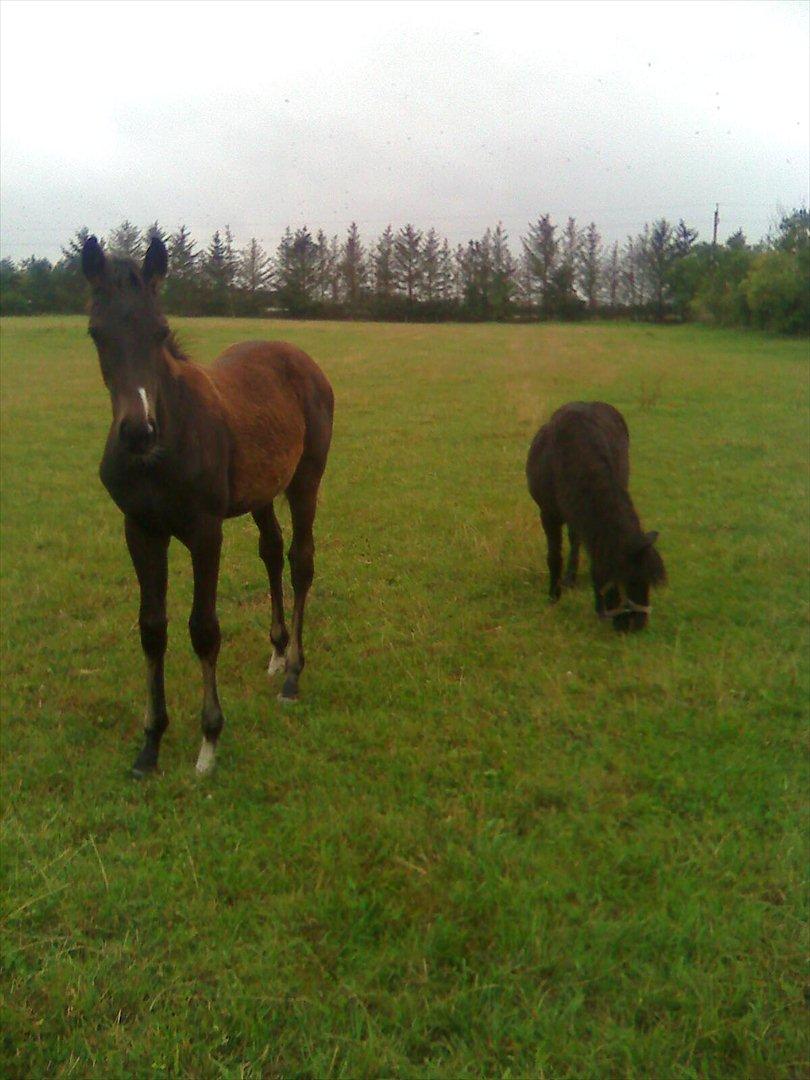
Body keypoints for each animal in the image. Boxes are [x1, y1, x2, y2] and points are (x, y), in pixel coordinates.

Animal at [82, 235, 334, 776]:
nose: (138, 431)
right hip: (261, 491)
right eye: (96, 333)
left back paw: (293, 674)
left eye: (159, 331)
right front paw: (150, 744)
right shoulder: (140, 529)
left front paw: (209, 741)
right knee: (271, 550)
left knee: (300, 560)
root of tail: (299, 356)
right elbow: (152, 628)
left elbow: (203, 628)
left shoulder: (204, 531)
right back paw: (277, 650)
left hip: (305, 479)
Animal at [526, 401, 665, 631]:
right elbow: (554, 556)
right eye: (625, 579)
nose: (636, 625)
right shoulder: (548, 514)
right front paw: (553, 597)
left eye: (646, 581)